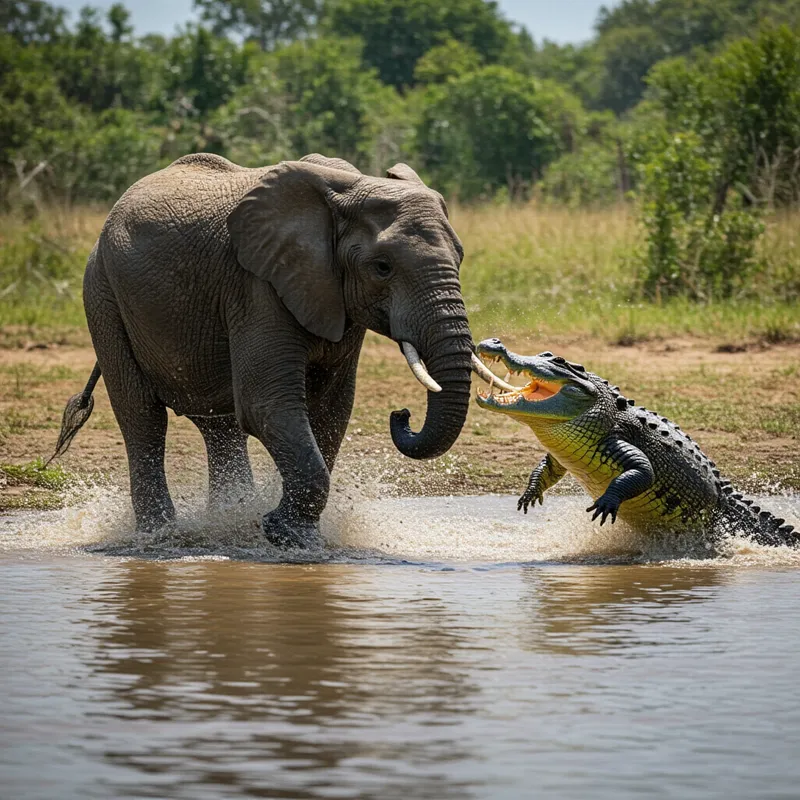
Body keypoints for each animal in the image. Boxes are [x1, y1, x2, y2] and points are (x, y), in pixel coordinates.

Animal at [53, 153, 473, 547]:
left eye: (460, 257)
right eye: (382, 267)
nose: (401, 414)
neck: (347, 192)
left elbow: (332, 409)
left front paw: (285, 531)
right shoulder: (257, 286)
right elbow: (266, 405)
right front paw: (287, 536)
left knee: (219, 425)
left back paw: (228, 520)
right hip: (102, 294)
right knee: (142, 416)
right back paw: (161, 535)